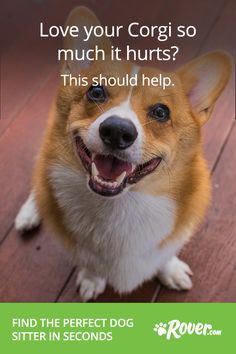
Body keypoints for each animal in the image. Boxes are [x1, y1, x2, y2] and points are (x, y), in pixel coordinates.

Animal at [14, 6, 230, 302]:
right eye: (96, 91)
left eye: (161, 112)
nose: (117, 131)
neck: (120, 205)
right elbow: (90, 263)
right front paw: (91, 278)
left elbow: (165, 254)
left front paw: (171, 270)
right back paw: (28, 214)